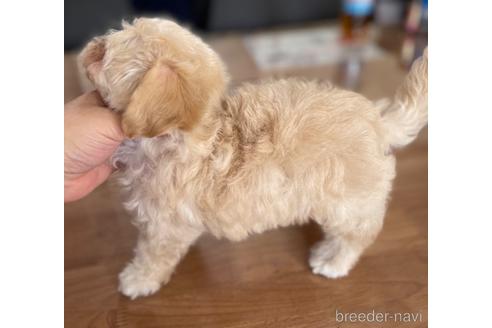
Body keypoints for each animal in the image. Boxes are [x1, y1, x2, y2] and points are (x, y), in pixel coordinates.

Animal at [80, 18, 426, 300]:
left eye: (111, 50)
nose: (94, 44)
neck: (192, 135)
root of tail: (379, 121)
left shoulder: (164, 224)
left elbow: (153, 253)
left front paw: (138, 279)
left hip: (349, 202)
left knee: (355, 236)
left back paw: (333, 260)